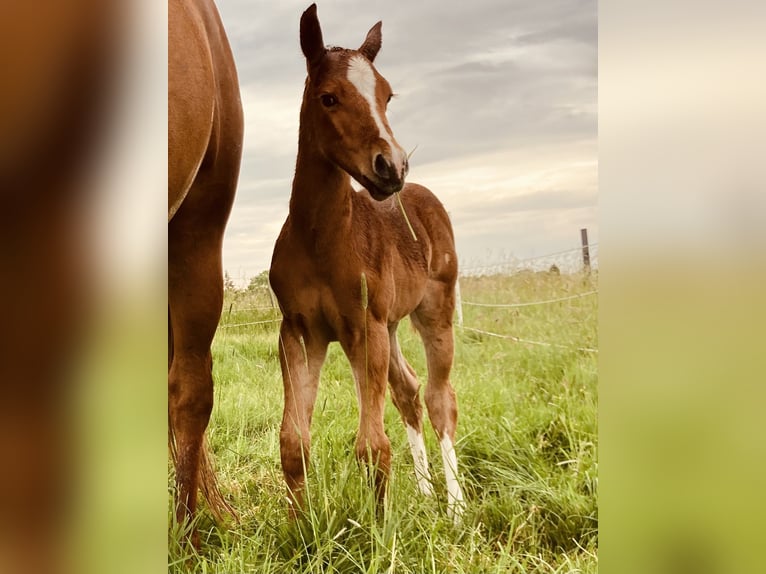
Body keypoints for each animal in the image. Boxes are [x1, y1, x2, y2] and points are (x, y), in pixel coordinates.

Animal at [268, 4, 464, 524]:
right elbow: (294, 440)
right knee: (408, 391)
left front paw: (380, 527)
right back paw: (426, 495)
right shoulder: (300, 332)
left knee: (439, 398)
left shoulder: (363, 327)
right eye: (329, 97)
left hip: (432, 312)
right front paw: (299, 528)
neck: (321, 241)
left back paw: (456, 507)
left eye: (387, 95)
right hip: (391, 326)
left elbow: (372, 445)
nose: (392, 167)